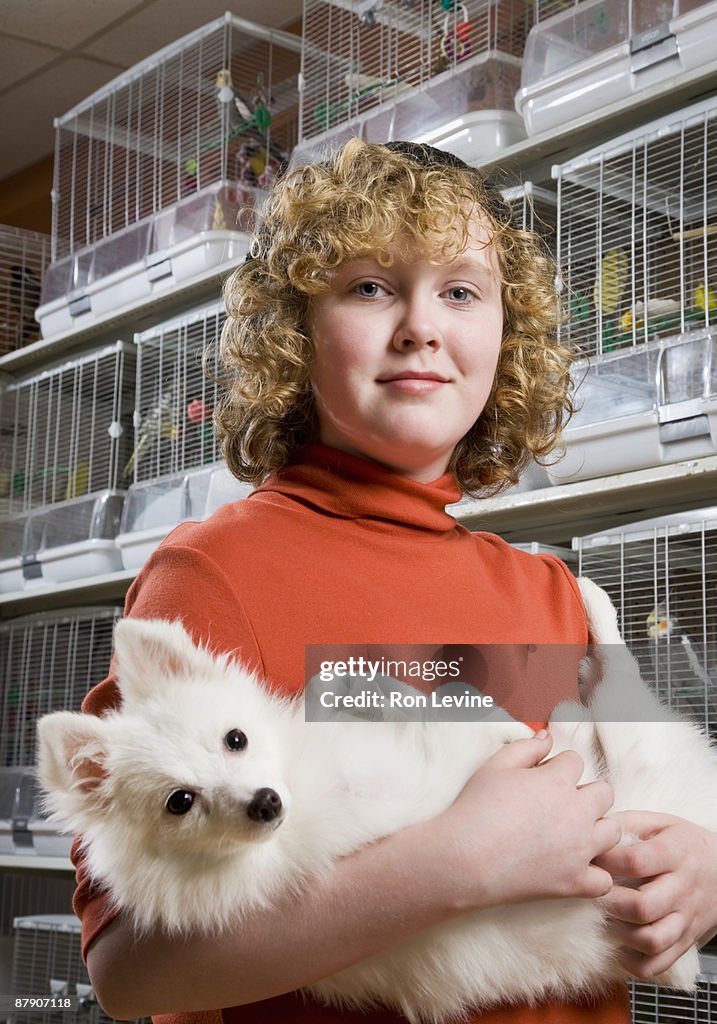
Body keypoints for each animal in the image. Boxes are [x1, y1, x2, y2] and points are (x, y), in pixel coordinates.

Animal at [36, 581, 717, 1019]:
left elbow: (346, 688)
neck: (313, 788)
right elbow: (451, 725)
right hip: (638, 741)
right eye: (180, 801)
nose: (265, 803)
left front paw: (366, 682)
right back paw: (589, 635)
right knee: (619, 676)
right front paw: (498, 727)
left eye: (236, 739)